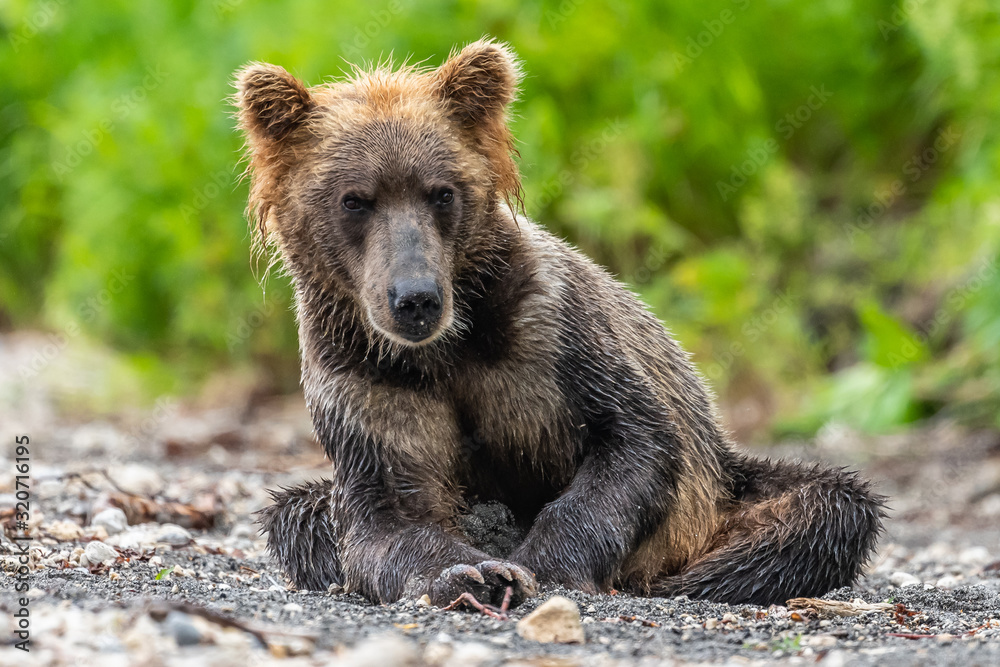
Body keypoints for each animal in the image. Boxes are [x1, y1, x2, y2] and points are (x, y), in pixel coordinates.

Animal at [234, 38, 885, 609]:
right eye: (355, 199)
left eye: (441, 192)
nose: (415, 298)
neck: (448, 348)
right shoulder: (363, 373)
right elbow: (385, 511)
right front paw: (462, 572)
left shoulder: (550, 335)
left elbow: (634, 440)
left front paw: (534, 565)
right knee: (296, 514)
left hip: (724, 488)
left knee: (827, 506)